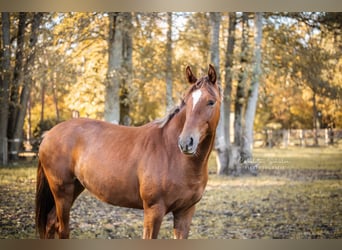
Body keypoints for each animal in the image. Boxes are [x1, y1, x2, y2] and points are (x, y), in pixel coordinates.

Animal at [35, 64, 222, 238]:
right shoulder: (154, 210)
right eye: (186, 102)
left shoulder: (185, 212)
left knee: (50, 222)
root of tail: (49, 134)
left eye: (211, 101)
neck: (172, 155)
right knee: (62, 229)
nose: (185, 143)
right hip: (62, 192)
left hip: (75, 187)